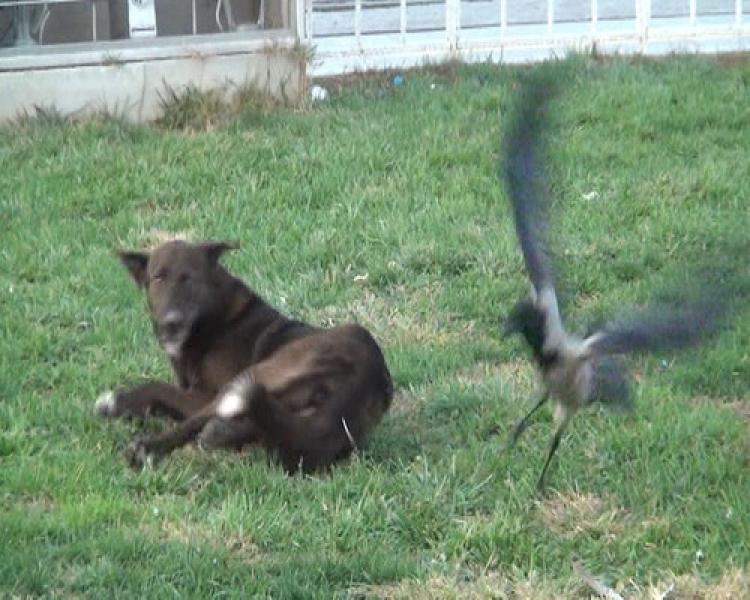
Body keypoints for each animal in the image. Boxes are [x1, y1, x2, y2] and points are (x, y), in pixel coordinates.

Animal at [95, 240, 394, 474]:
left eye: (189, 278)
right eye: (158, 278)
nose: (171, 323)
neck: (215, 319)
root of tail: (367, 376)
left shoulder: (203, 394)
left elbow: (158, 388)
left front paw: (118, 402)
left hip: (257, 375)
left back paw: (149, 447)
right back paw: (223, 433)